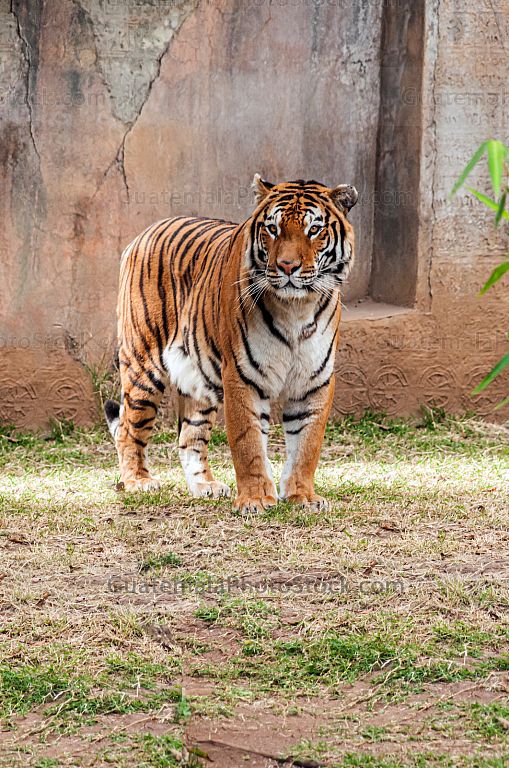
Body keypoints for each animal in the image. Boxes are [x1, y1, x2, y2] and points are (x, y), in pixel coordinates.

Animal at [105, 175, 357, 514]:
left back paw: (205, 486)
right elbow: (248, 442)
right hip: (143, 366)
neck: (296, 307)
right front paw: (255, 499)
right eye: (272, 229)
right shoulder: (242, 375)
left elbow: (307, 445)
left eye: (314, 229)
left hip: (197, 380)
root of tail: (143, 234)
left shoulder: (314, 380)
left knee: (189, 437)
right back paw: (139, 481)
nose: (287, 266)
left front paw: (302, 497)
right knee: (129, 429)